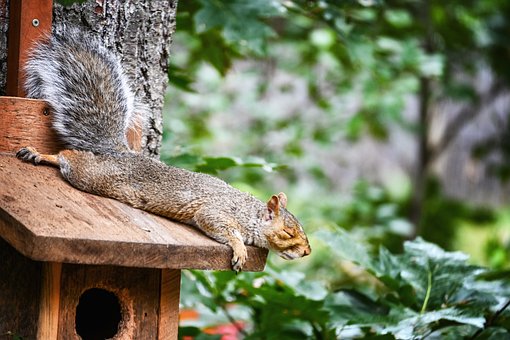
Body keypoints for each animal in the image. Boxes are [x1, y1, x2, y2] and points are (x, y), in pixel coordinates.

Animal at [15, 25, 310, 270]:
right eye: (288, 233)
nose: (307, 252)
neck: (249, 213)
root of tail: (120, 152)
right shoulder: (217, 211)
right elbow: (219, 226)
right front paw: (239, 249)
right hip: (94, 176)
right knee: (69, 157)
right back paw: (41, 155)